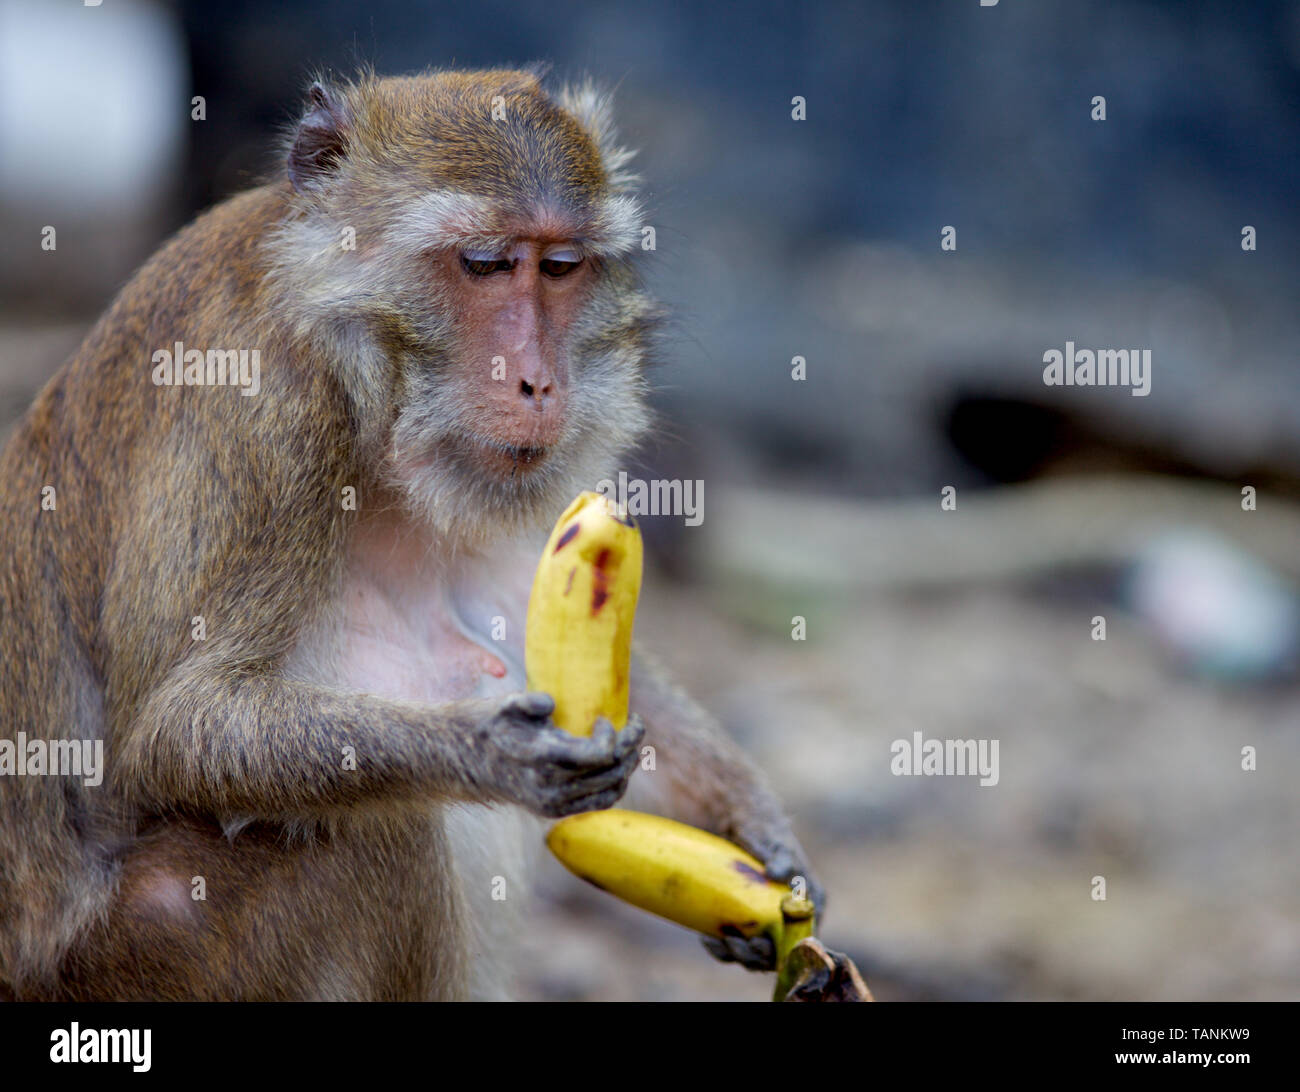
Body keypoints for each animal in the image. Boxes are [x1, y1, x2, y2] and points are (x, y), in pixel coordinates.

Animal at [0, 68, 821, 1003]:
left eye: (561, 267)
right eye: (485, 264)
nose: (538, 381)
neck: (375, 402)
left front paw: (752, 823)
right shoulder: (266, 417)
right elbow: (181, 726)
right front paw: (487, 750)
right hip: (142, 958)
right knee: (382, 830)